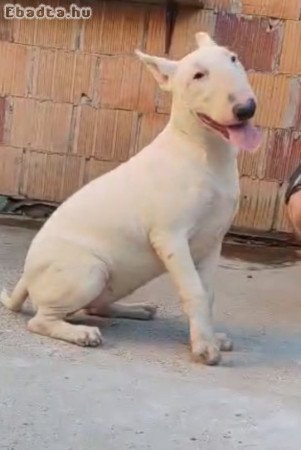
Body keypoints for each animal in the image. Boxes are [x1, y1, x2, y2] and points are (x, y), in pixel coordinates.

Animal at [1, 34, 260, 366]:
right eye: (198, 76)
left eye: (233, 59)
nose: (246, 108)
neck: (204, 152)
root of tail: (25, 275)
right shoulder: (171, 237)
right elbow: (195, 292)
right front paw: (205, 348)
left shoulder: (212, 242)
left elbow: (209, 293)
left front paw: (211, 337)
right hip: (90, 270)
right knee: (41, 320)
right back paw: (81, 334)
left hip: (115, 280)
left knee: (94, 307)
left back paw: (136, 309)